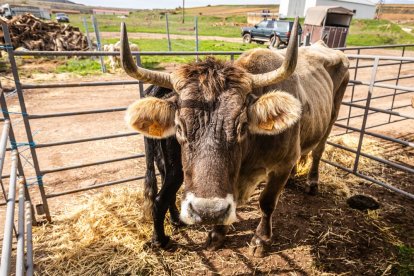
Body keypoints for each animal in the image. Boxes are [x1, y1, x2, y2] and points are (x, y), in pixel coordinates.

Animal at [120, 18, 350, 256]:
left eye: (241, 127)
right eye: (179, 128)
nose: (207, 212)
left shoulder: (283, 164)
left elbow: (267, 202)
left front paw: (261, 239)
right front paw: (217, 233)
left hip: (332, 117)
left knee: (319, 151)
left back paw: (312, 182)